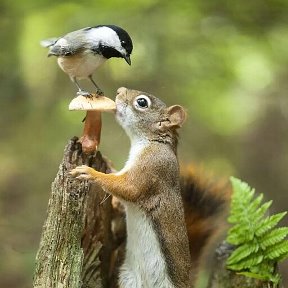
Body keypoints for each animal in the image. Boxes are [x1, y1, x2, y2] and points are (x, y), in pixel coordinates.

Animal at [70, 87, 232, 288]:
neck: (152, 141)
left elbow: (128, 188)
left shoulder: (152, 168)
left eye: (142, 102)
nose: (119, 91)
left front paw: (90, 172)